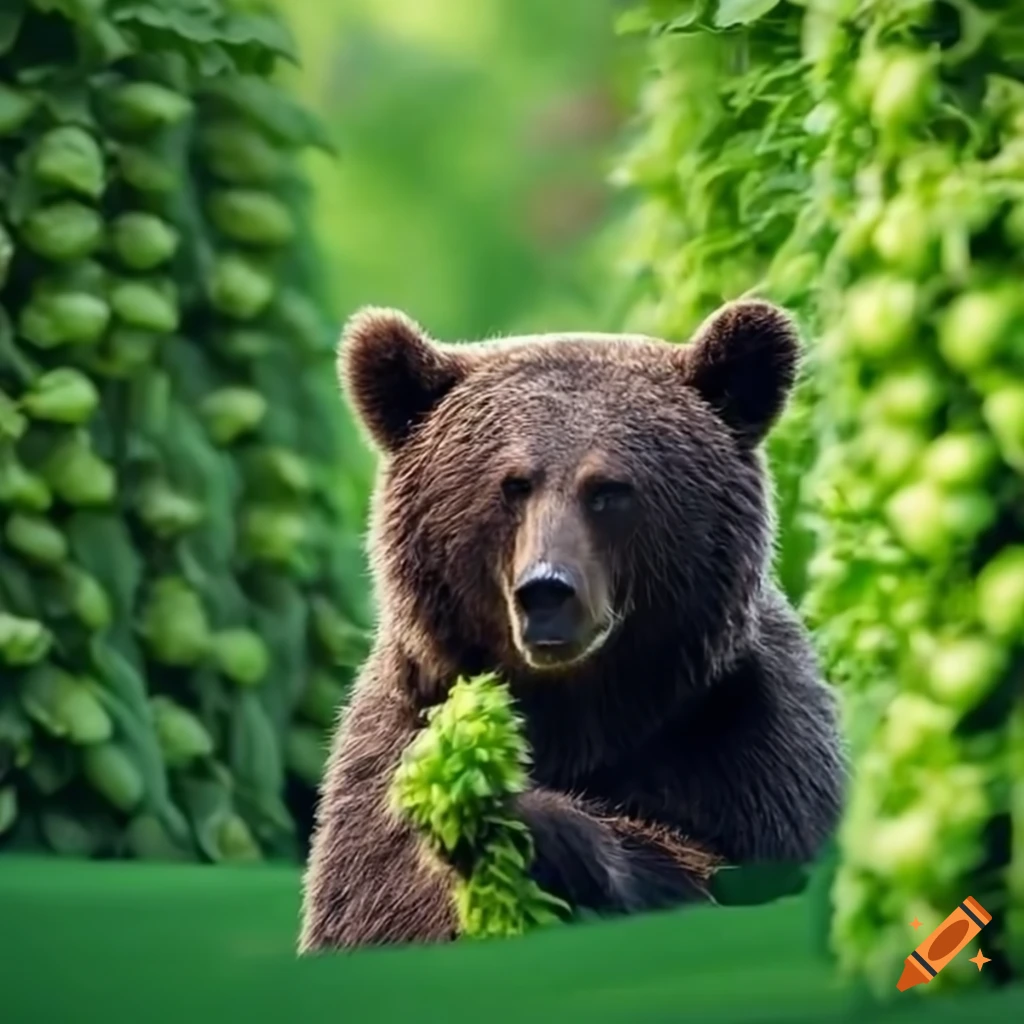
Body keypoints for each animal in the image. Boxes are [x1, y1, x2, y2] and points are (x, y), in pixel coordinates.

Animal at [299, 299, 846, 953]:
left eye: (608, 490)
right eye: (513, 484)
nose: (547, 591)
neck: (584, 718)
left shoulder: (756, 750)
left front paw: (521, 824)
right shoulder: (380, 778)